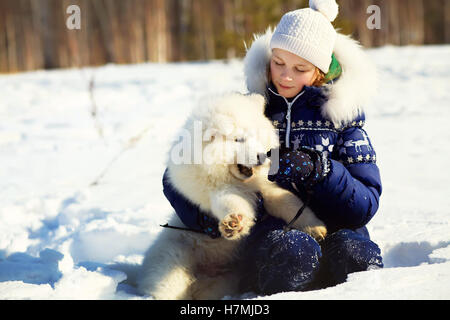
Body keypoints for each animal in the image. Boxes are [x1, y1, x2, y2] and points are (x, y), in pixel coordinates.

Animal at [137, 92, 326, 300]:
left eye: (258, 136)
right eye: (239, 140)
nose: (262, 156)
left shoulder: (267, 188)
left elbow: (289, 202)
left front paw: (316, 228)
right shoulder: (215, 191)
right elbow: (231, 202)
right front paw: (233, 223)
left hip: (227, 278)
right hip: (174, 257)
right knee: (166, 283)